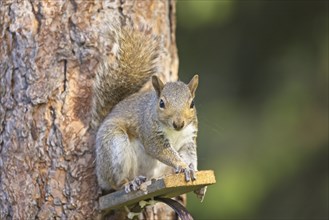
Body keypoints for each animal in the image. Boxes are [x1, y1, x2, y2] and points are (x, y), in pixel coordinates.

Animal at [91, 25, 205, 201]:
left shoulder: (188, 138)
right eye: (162, 103)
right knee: (115, 182)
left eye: (192, 103)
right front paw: (182, 165)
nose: (179, 123)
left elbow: (189, 155)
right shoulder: (150, 132)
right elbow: (161, 151)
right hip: (113, 145)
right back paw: (130, 183)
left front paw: (192, 170)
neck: (175, 132)